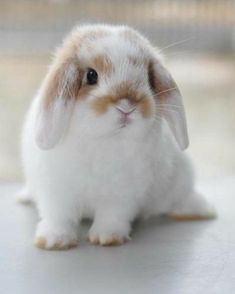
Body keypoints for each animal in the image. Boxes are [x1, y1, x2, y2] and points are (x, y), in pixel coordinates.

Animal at [18, 25, 217, 250]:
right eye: (91, 75)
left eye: (148, 78)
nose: (127, 106)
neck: (104, 140)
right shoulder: (55, 191)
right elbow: (58, 216)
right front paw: (54, 241)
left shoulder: (123, 194)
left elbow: (112, 215)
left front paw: (107, 237)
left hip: (180, 182)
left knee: (182, 198)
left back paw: (202, 210)